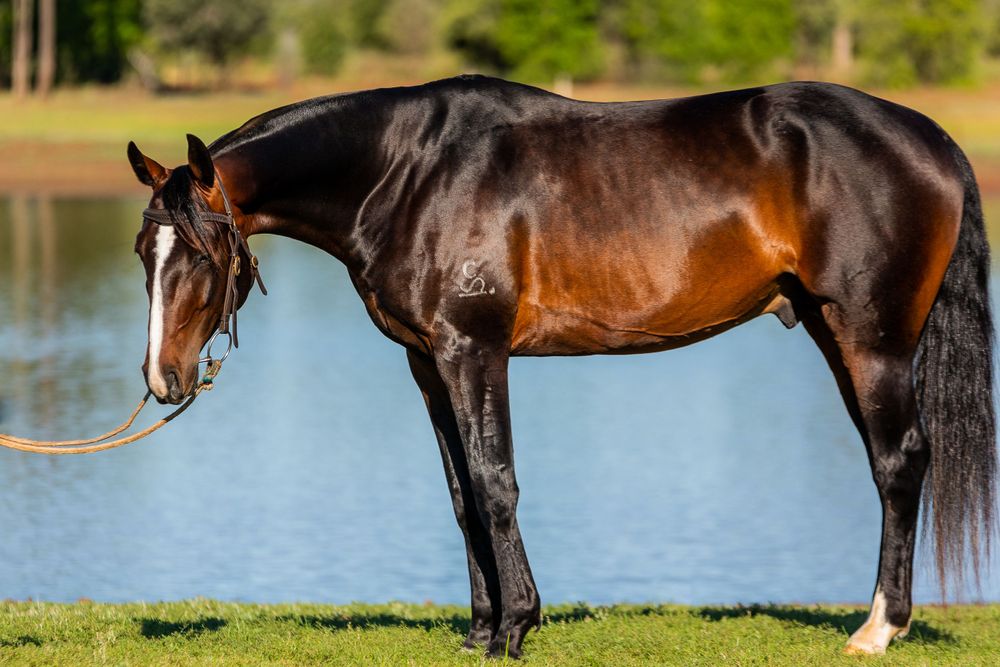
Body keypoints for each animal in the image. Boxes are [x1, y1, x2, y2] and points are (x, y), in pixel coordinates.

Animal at [127, 75, 995, 658]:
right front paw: (480, 629)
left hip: (871, 338)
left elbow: (495, 482)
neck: (407, 172)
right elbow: (461, 495)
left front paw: (515, 625)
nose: (162, 379)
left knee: (899, 462)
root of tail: (931, 137)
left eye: (202, 252)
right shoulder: (426, 361)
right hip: (828, 328)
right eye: (145, 250)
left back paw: (879, 627)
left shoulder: (473, 350)